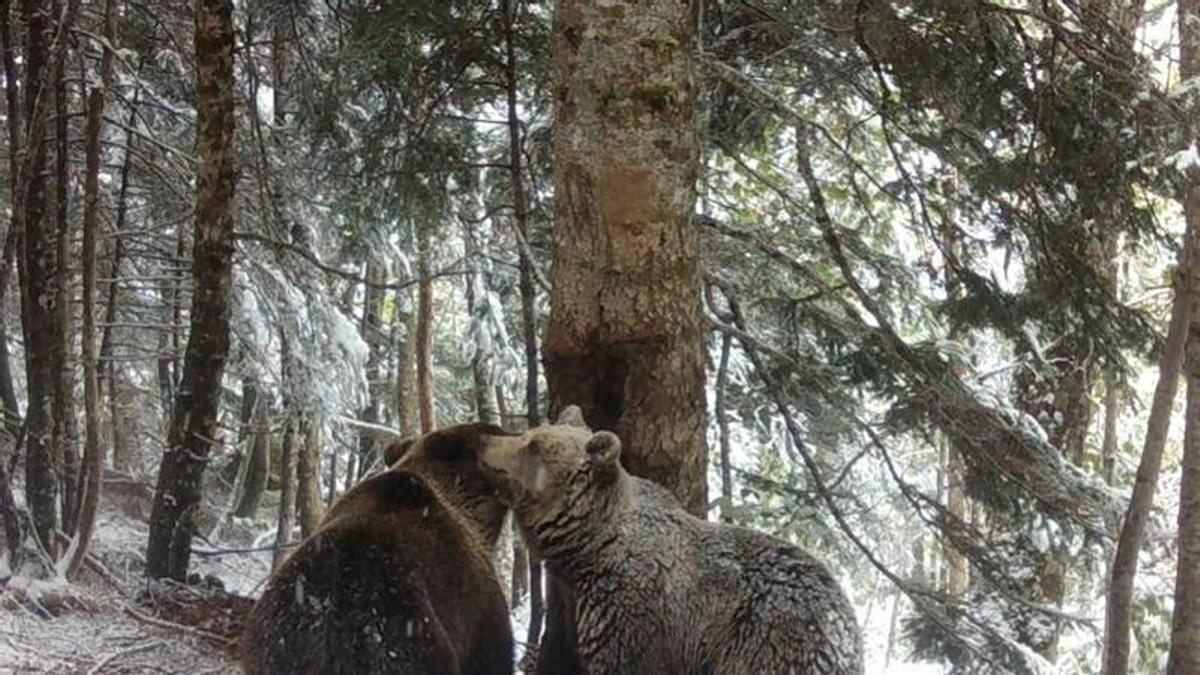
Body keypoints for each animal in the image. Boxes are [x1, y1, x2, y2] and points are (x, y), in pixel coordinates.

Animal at [480, 407, 864, 675]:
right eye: (532, 433)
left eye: (533, 446)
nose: (485, 441)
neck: (589, 547)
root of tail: (846, 631)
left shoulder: (635, 614)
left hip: (771, 643)